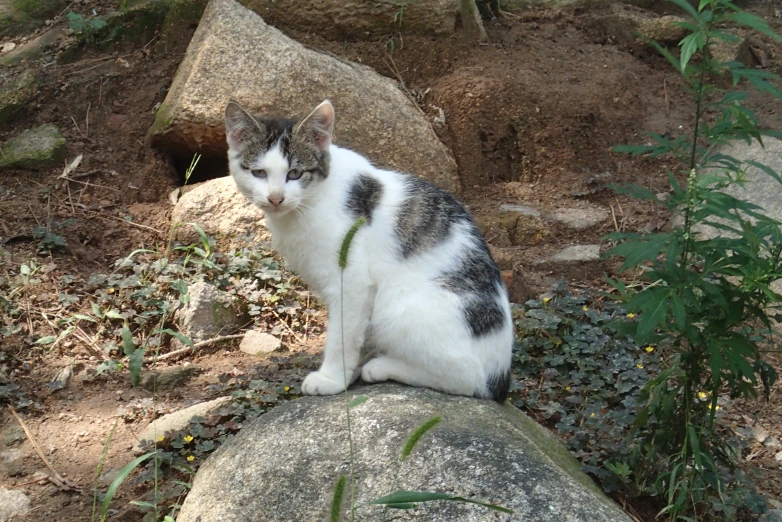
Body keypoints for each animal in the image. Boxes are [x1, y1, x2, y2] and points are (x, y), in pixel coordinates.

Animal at [224, 98, 516, 402]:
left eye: (295, 173)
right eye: (259, 173)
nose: (275, 198)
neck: (310, 202)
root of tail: (501, 377)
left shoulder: (351, 281)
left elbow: (341, 335)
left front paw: (333, 378)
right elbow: (355, 335)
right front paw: (349, 371)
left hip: (397, 304)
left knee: (466, 377)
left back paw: (382, 366)